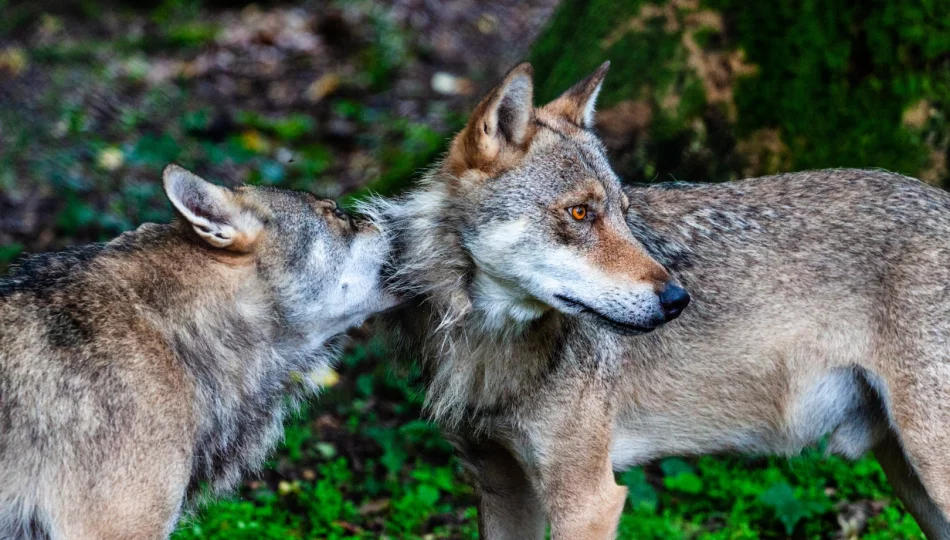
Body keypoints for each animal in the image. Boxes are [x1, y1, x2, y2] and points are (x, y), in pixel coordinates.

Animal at [368, 64, 950, 540]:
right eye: (580, 213)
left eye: (624, 213)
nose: (677, 299)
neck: (489, 346)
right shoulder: (500, 486)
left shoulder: (589, 502)